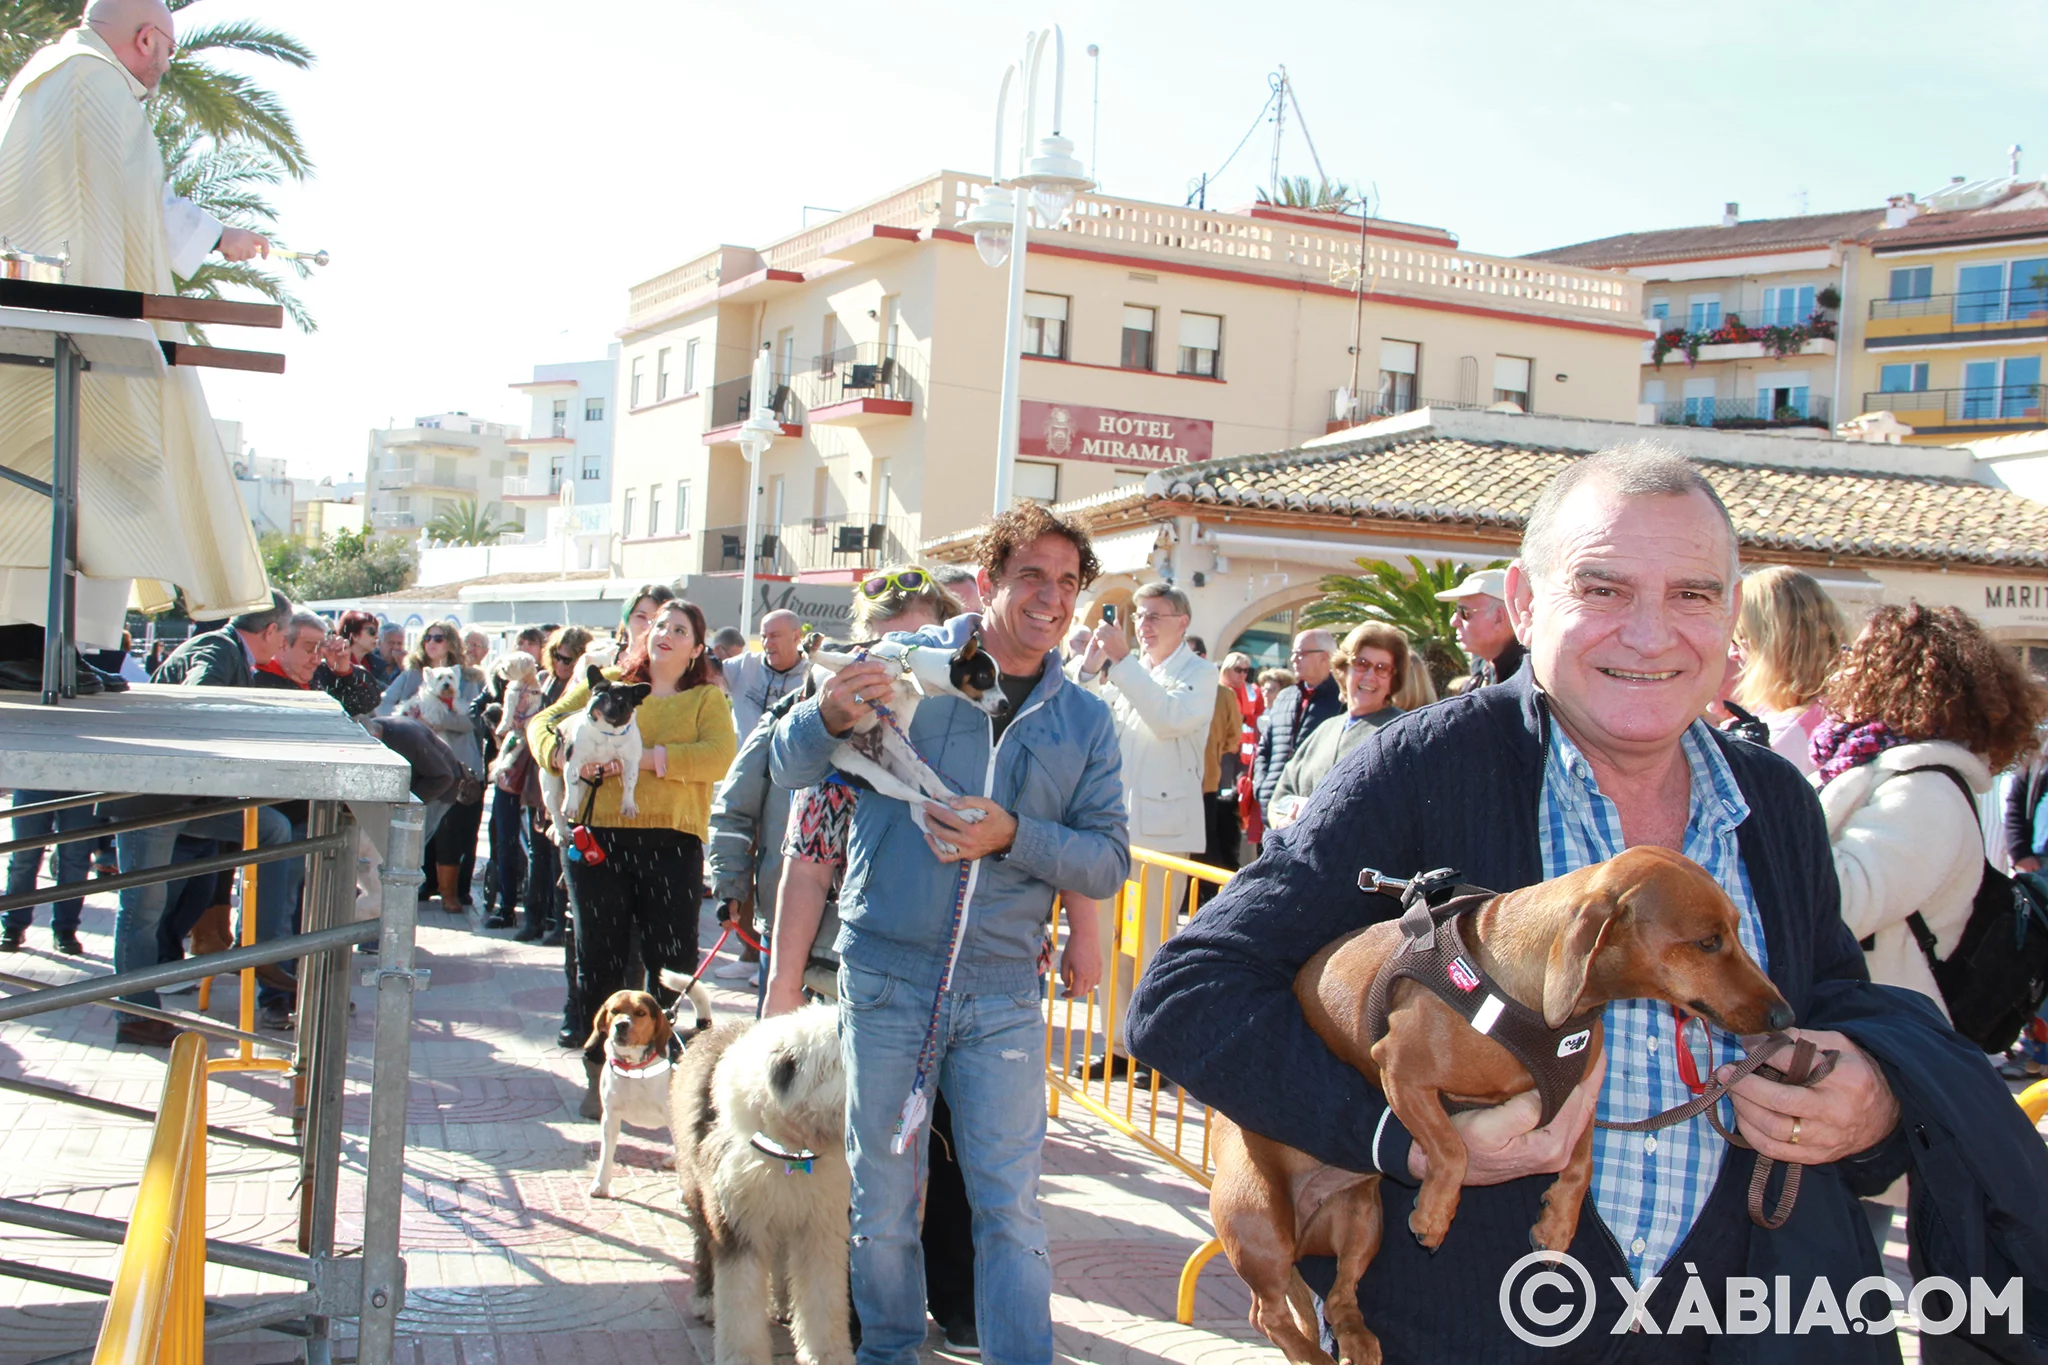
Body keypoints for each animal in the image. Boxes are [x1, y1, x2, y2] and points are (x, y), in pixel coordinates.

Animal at [589, 982, 716, 1195]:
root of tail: (702, 1029)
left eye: (640, 1012)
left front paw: (684, 1192)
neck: (634, 1068)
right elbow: (606, 1154)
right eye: (614, 1011)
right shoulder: (610, 1118)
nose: (621, 1025)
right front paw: (601, 1184)